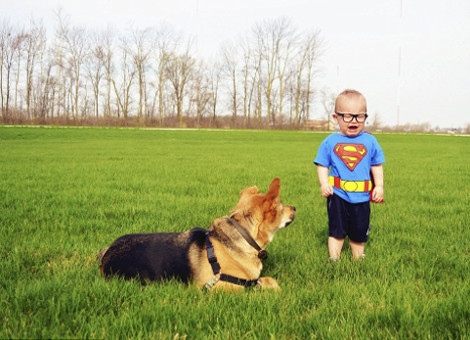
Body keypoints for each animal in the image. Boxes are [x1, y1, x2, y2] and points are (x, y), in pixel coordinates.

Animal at [98, 177, 296, 290]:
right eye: (280, 206)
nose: (294, 207)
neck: (243, 237)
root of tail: (107, 253)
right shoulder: (224, 288)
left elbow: (271, 281)